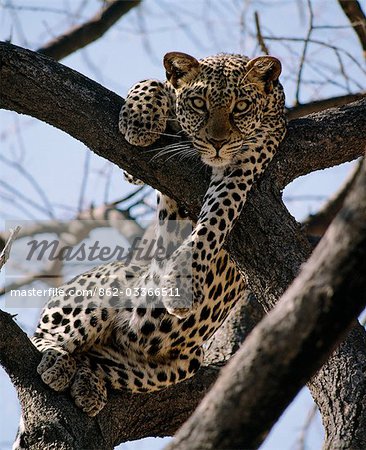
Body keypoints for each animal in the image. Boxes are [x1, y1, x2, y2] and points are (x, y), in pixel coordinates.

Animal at [18, 51, 286, 428]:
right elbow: (153, 82)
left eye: (242, 106)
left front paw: (181, 280)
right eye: (199, 103)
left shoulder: (244, 164)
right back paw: (58, 360)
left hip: (181, 362)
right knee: (44, 336)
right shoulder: (140, 168)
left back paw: (87, 383)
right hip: (105, 284)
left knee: (101, 361)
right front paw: (140, 120)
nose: (217, 143)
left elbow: (215, 220)